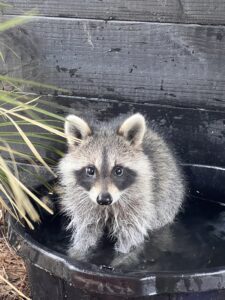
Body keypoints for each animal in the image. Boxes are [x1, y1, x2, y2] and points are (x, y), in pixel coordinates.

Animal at [57, 113, 185, 258]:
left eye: (118, 170)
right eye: (90, 170)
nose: (104, 199)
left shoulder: (138, 206)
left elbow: (130, 238)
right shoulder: (83, 205)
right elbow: (86, 231)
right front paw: (79, 251)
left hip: (169, 197)